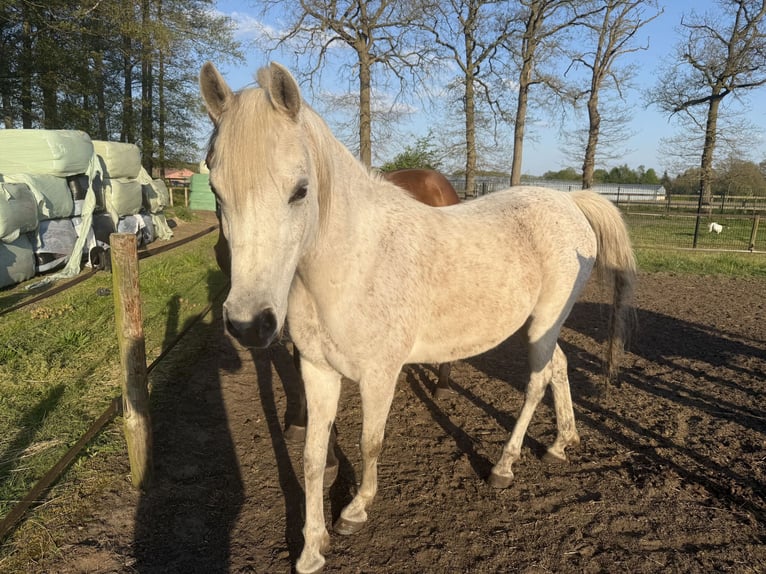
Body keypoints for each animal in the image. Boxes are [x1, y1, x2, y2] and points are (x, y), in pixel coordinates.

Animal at [200, 61, 636, 574]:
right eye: (215, 190)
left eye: (300, 190)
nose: (250, 323)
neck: (353, 262)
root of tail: (569, 202)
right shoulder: (317, 370)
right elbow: (311, 457)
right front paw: (311, 550)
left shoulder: (379, 375)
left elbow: (370, 443)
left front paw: (354, 511)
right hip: (544, 324)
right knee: (559, 368)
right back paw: (561, 444)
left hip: (543, 322)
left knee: (535, 382)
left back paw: (504, 466)